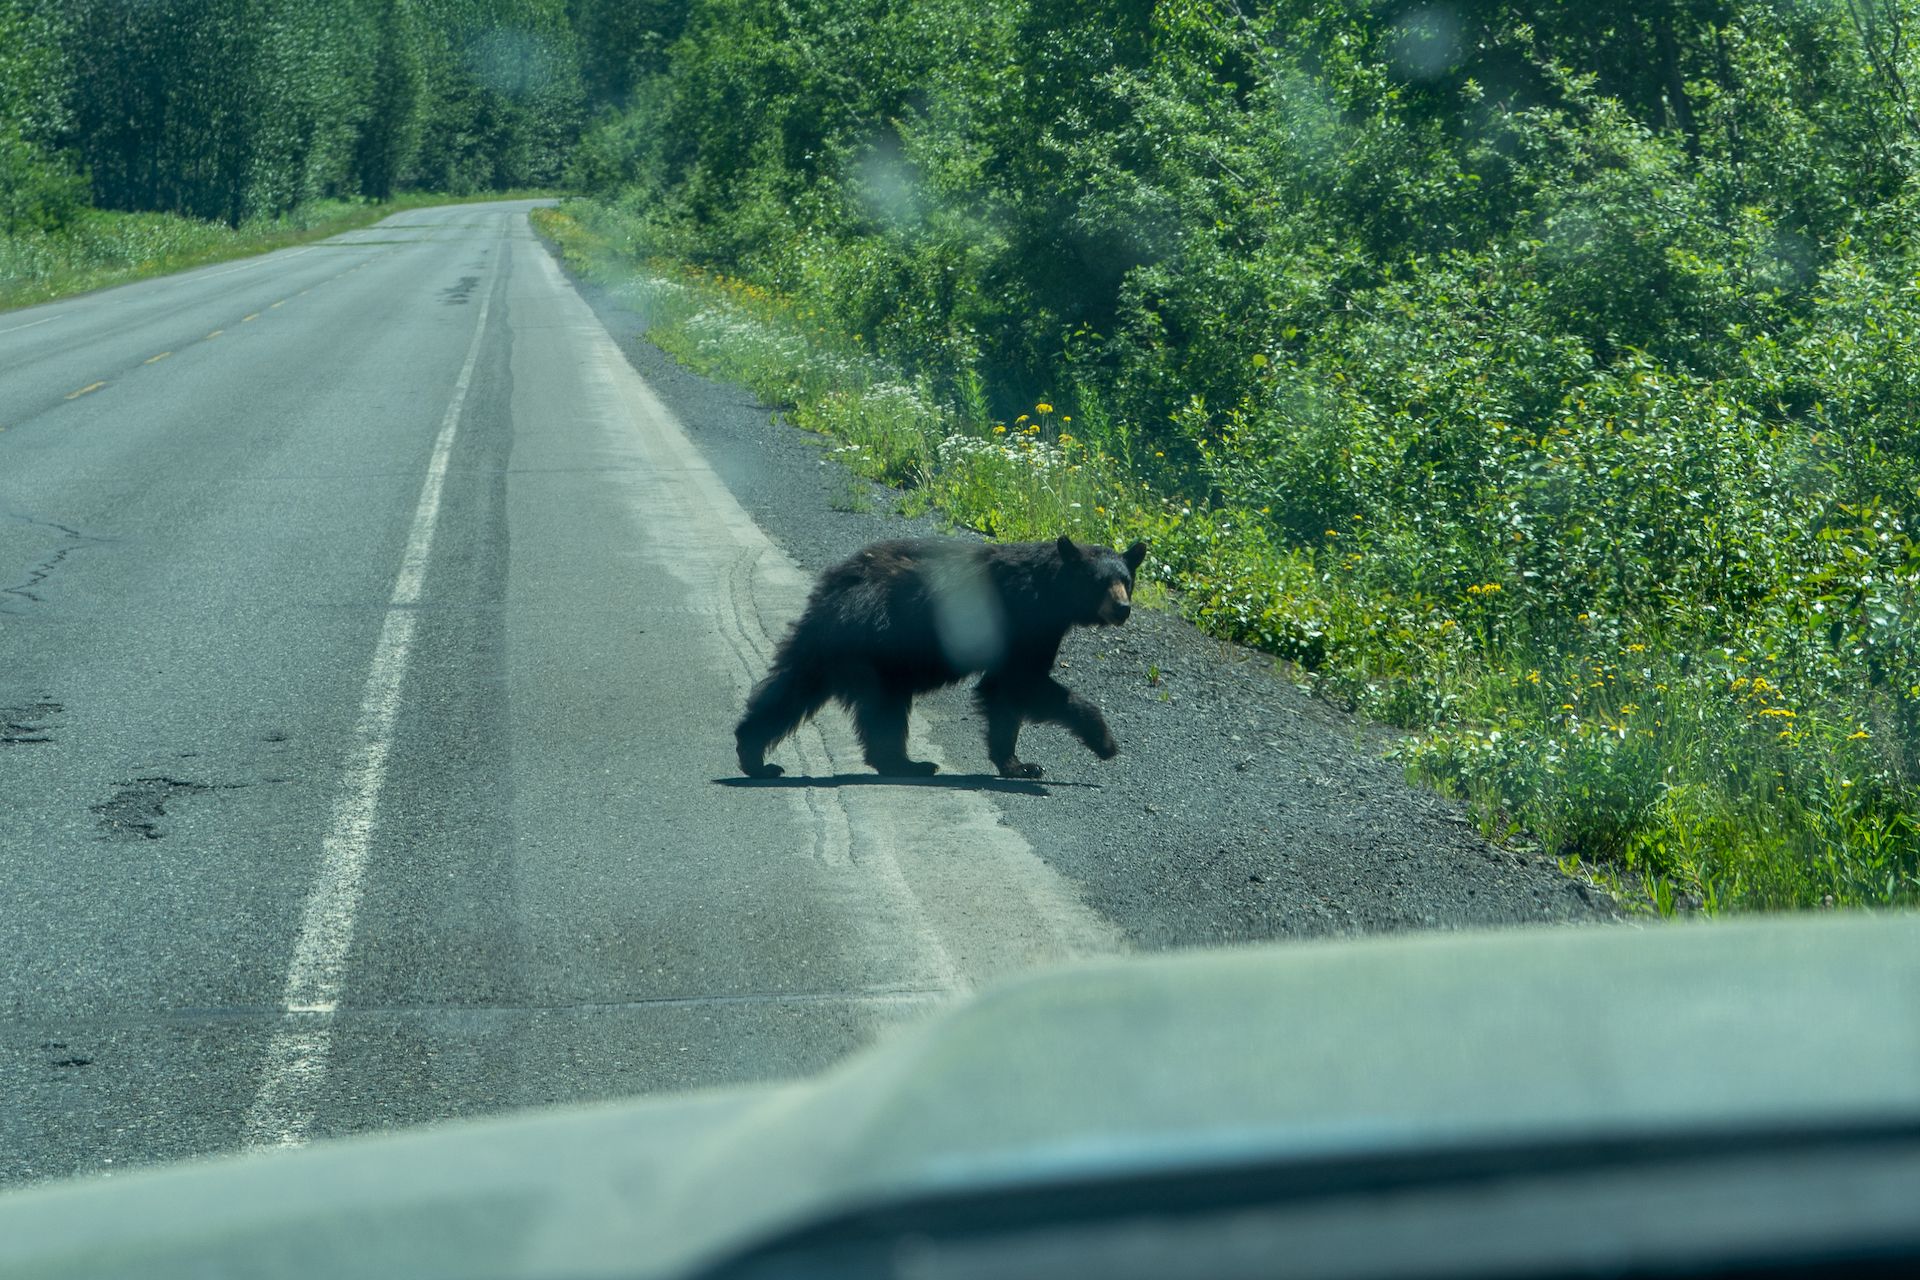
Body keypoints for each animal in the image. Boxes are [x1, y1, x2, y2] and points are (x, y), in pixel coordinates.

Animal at [737, 533, 1144, 782]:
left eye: (1127, 579)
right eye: (1099, 581)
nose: (1122, 609)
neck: (1050, 592)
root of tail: (837, 583)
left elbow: (1003, 690)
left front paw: (1018, 764)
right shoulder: (1023, 620)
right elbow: (1024, 682)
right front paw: (1104, 741)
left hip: (828, 644)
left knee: (792, 686)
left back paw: (753, 752)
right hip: (880, 646)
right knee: (880, 707)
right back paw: (905, 763)